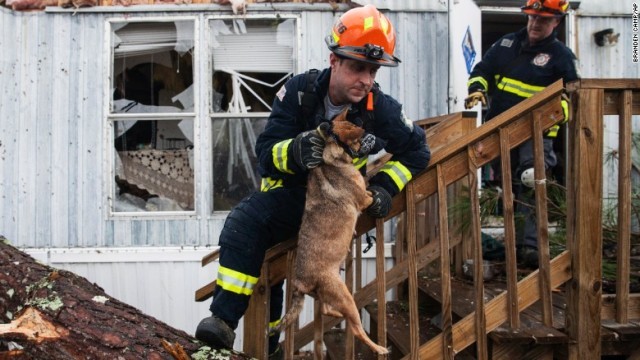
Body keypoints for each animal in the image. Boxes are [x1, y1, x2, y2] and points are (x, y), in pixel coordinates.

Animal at [272, 107, 388, 354]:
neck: (329, 159)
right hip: (343, 295)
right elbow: (369, 189)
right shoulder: (364, 198)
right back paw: (378, 348)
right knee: (356, 329)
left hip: (333, 291)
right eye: (359, 138)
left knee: (326, 309)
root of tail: (300, 283)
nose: (374, 140)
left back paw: (335, 313)